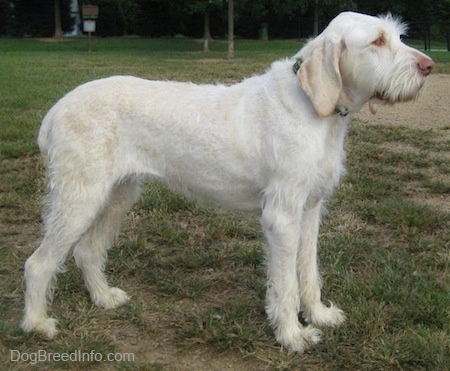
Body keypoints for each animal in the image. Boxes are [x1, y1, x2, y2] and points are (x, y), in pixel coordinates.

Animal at [21, 11, 432, 354]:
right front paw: (292, 336)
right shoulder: (282, 216)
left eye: (397, 35)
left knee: (87, 250)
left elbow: (308, 270)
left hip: (117, 195)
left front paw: (318, 315)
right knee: (39, 262)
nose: (429, 66)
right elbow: (285, 282)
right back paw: (37, 324)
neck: (315, 108)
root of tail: (56, 110)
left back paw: (104, 298)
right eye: (377, 41)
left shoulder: (311, 209)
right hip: (79, 198)